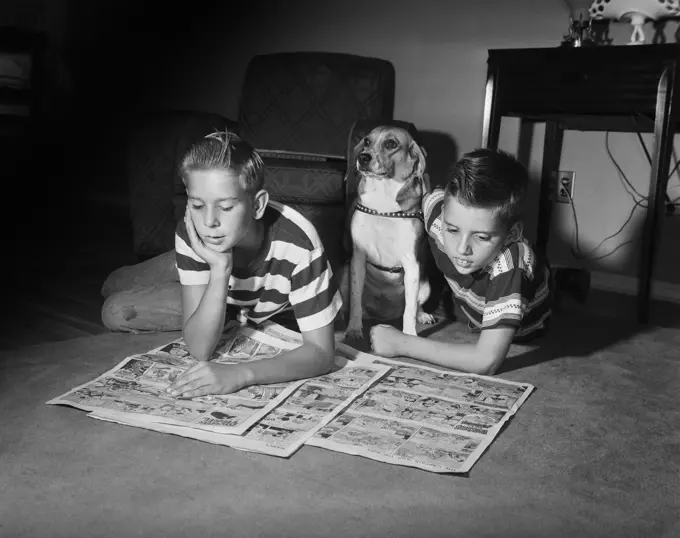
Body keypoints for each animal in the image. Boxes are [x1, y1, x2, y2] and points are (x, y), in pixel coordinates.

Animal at [340, 123, 436, 338]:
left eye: (391, 144)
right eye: (367, 141)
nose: (363, 158)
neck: (382, 207)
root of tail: (383, 315)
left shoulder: (411, 264)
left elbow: (410, 310)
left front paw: (409, 336)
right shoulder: (357, 258)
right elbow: (355, 300)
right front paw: (354, 329)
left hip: (426, 286)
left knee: (416, 306)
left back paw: (423, 316)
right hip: (344, 274)